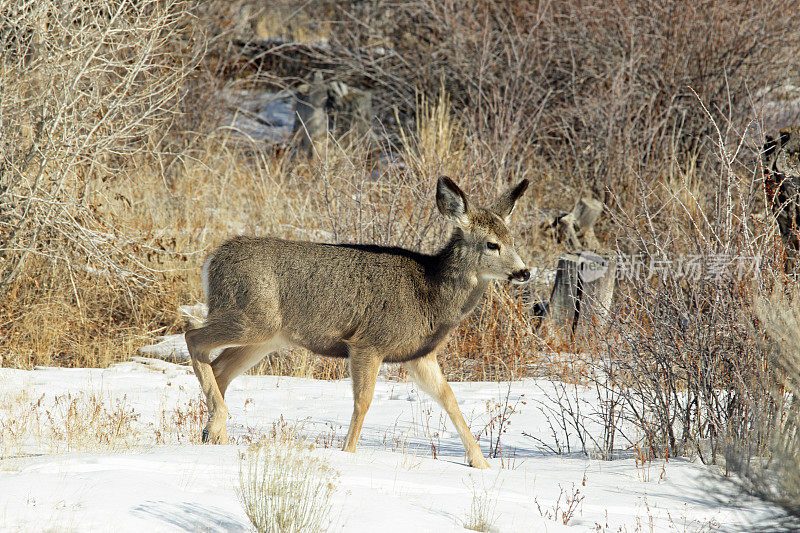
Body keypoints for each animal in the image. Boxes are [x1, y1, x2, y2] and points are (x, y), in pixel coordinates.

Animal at [184, 177, 528, 468]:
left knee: (220, 368)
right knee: (193, 337)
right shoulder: (368, 342)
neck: (432, 296)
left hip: (266, 337)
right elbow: (363, 401)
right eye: (492, 244)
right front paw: (348, 454)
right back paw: (217, 422)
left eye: (513, 240)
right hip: (250, 317)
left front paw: (480, 464)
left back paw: (216, 438)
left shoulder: (419, 355)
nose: (524, 272)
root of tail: (211, 260)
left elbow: (449, 398)